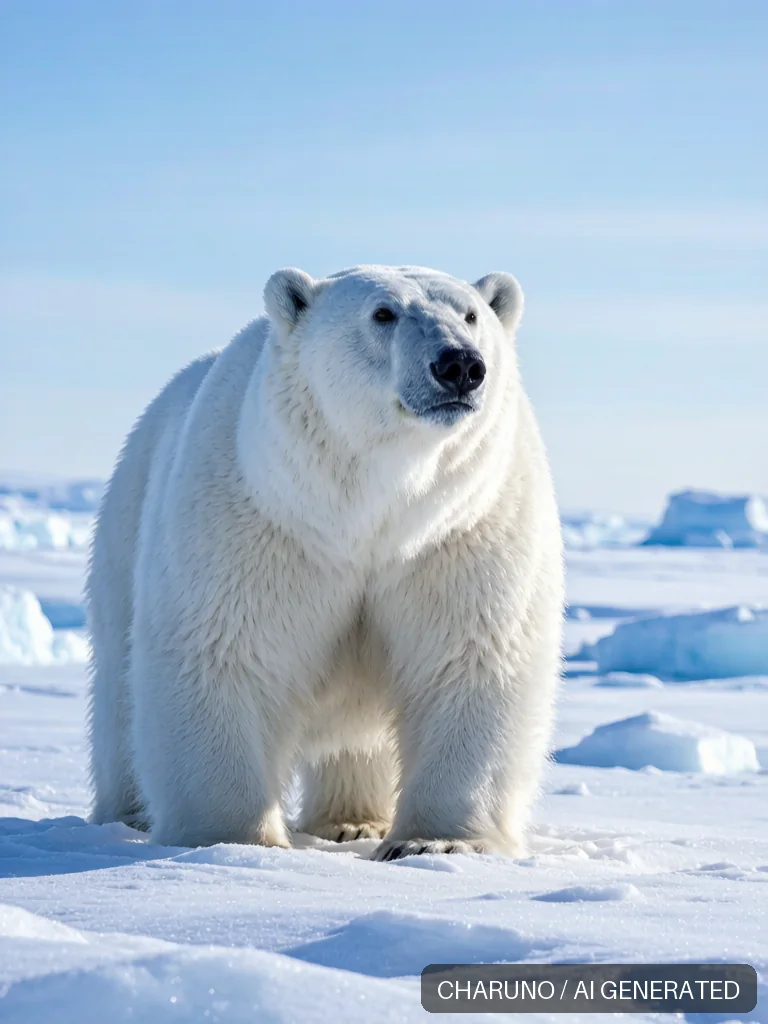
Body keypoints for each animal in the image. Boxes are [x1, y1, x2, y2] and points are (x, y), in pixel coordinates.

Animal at [87, 264, 564, 859]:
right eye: (383, 313)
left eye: (471, 314)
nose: (460, 365)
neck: (370, 509)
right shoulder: (258, 522)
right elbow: (225, 649)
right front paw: (235, 840)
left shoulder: (463, 531)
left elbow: (471, 656)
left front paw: (437, 842)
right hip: (126, 523)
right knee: (119, 692)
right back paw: (127, 816)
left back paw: (353, 821)